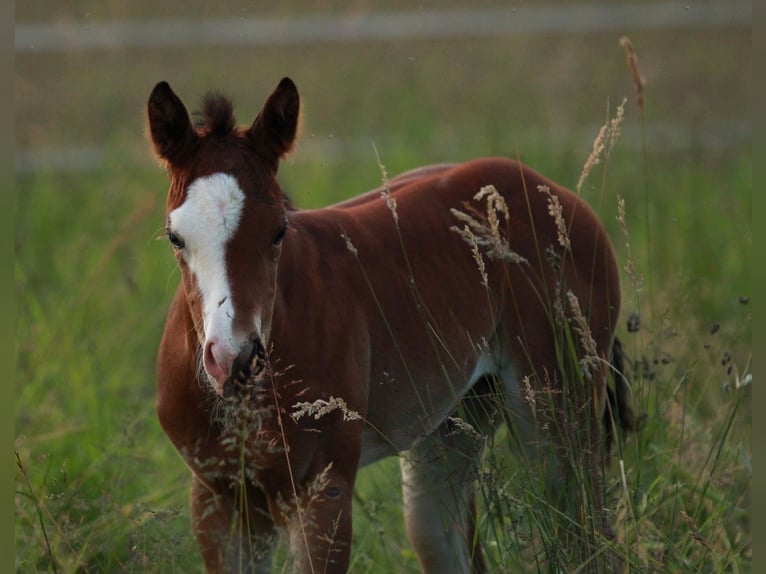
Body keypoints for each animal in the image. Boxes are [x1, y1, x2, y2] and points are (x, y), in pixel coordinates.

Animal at [147, 77, 632, 574]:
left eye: (280, 229)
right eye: (175, 237)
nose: (234, 359)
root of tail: (552, 191)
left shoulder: (323, 492)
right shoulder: (218, 501)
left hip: (558, 412)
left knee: (591, 536)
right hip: (453, 426)